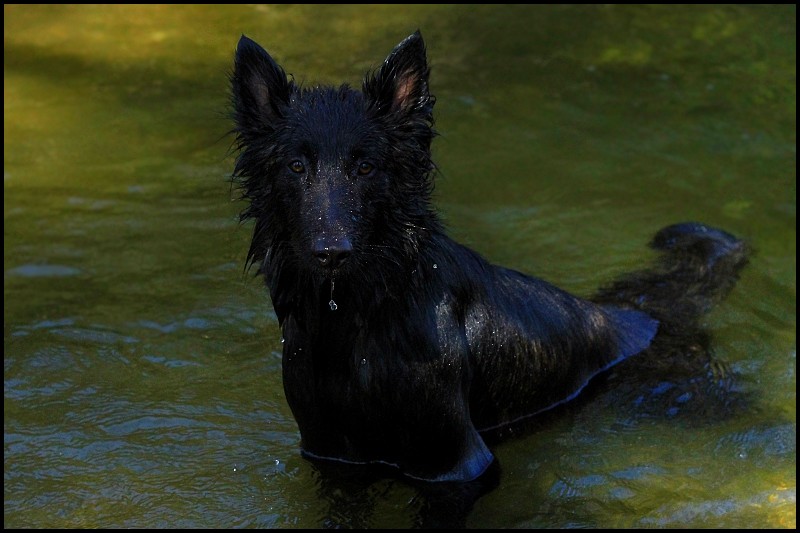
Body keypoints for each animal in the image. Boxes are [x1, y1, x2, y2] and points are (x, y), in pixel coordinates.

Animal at [227, 31, 752, 484]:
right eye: (297, 166)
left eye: (366, 167)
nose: (331, 253)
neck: (355, 323)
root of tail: (648, 313)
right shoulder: (333, 456)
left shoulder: (457, 462)